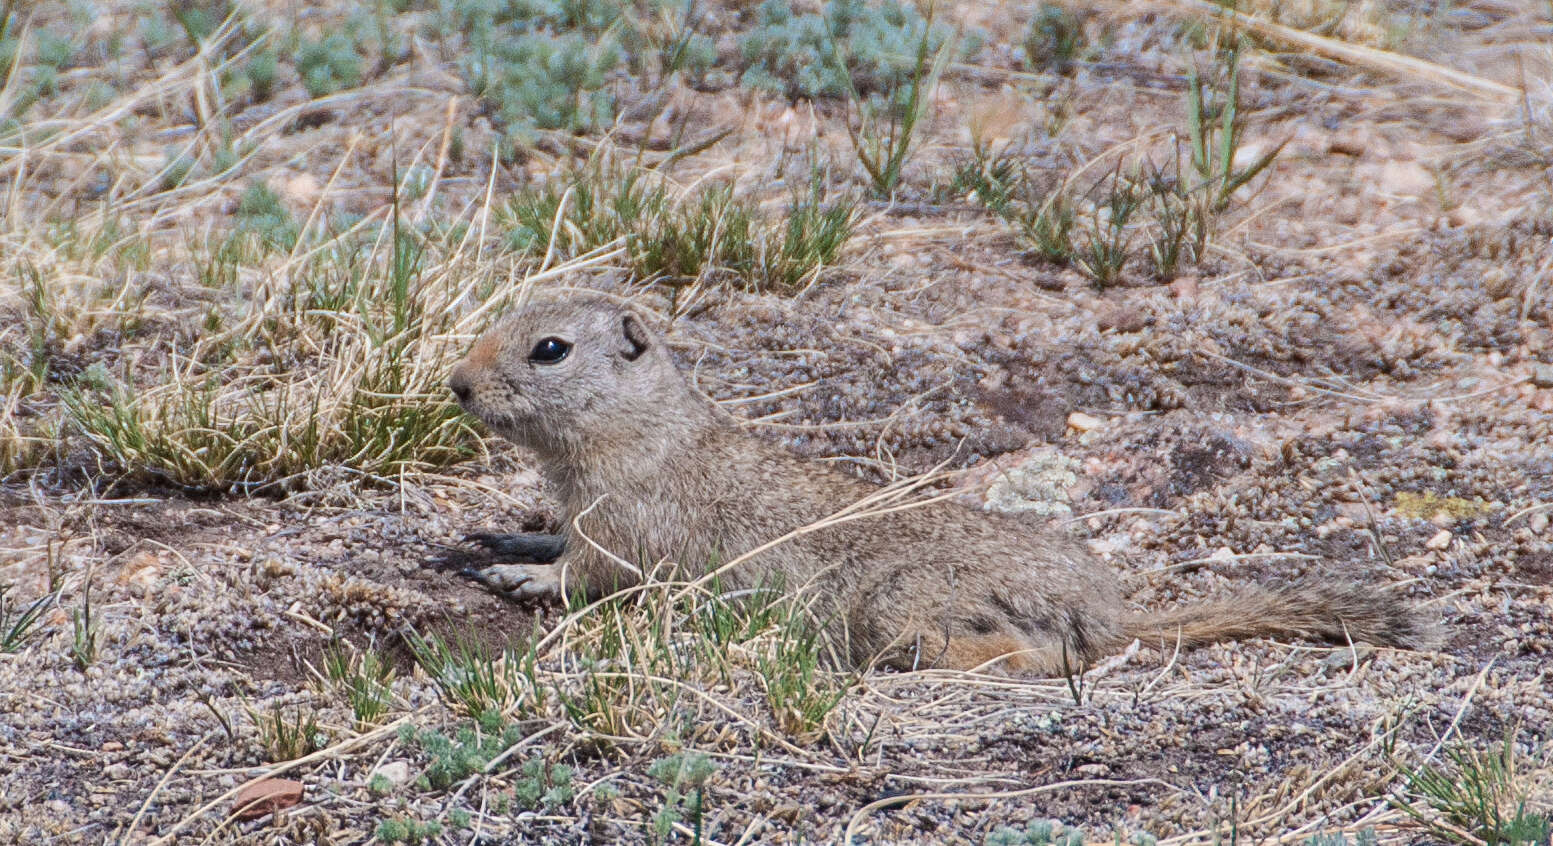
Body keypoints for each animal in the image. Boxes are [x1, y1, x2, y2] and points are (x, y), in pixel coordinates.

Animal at [444, 293, 1434, 670]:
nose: (455, 384)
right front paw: (500, 537)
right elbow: (555, 535)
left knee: (1029, 659)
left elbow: (587, 574)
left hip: (903, 605)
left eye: (549, 349)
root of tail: (1114, 614)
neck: (637, 428)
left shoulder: (625, 526)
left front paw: (518, 576)